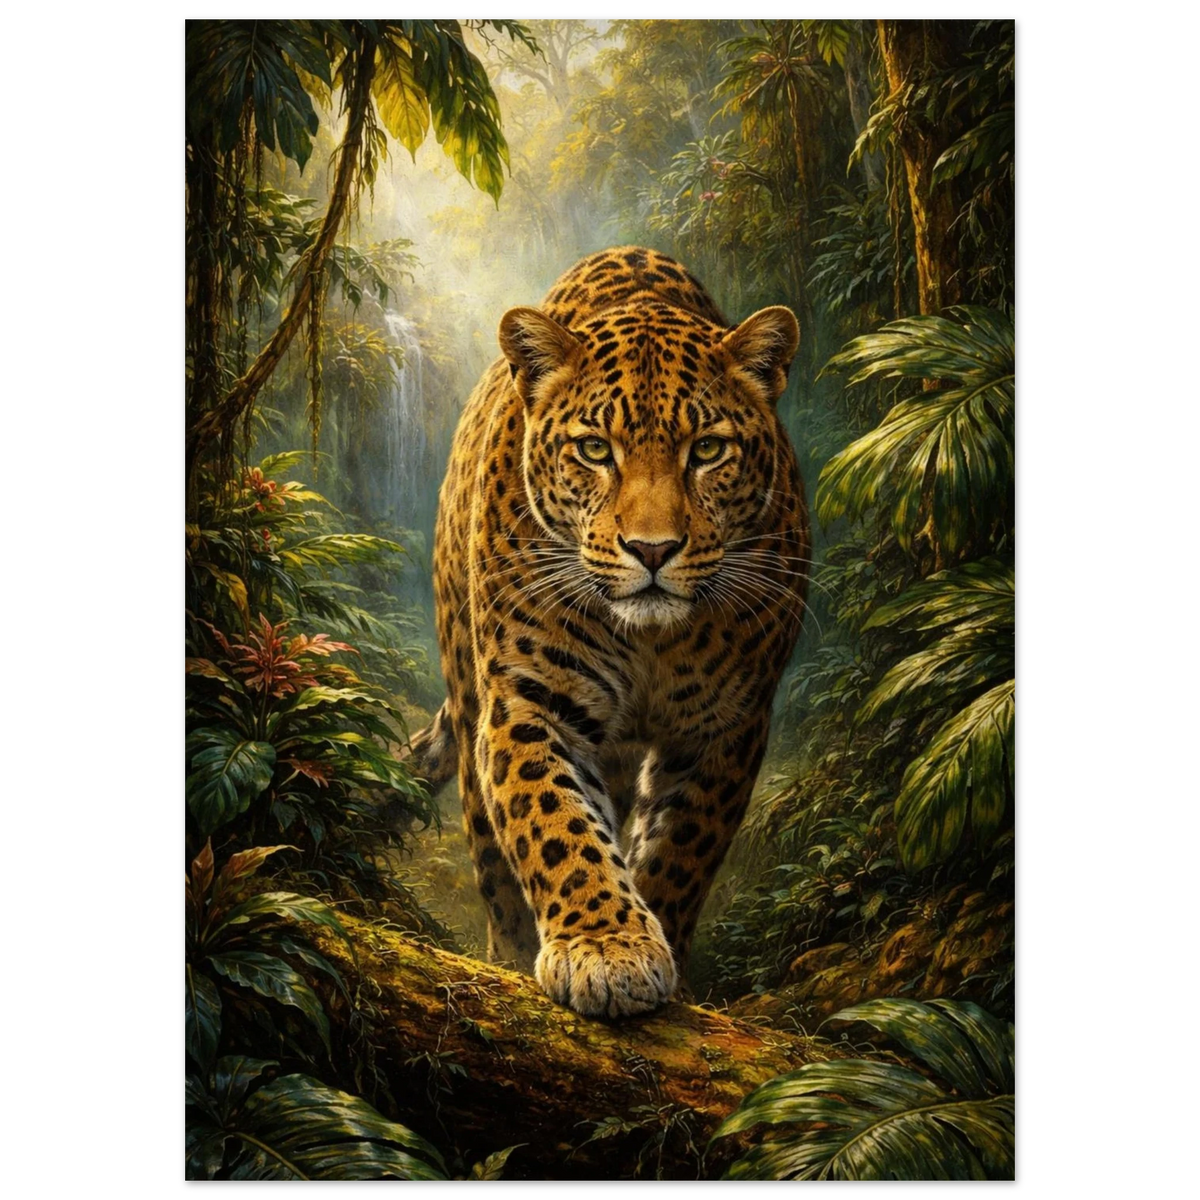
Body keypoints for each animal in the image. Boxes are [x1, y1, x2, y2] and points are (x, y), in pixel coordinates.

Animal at [409, 247, 810, 1018]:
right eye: (595, 449)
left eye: (707, 449)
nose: (653, 550)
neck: (650, 642)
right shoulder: (530, 701)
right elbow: (555, 826)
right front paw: (607, 947)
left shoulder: (728, 724)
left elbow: (681, 851)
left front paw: (654, 942)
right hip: (468, 689)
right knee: (491, 852)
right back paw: (510, 952)